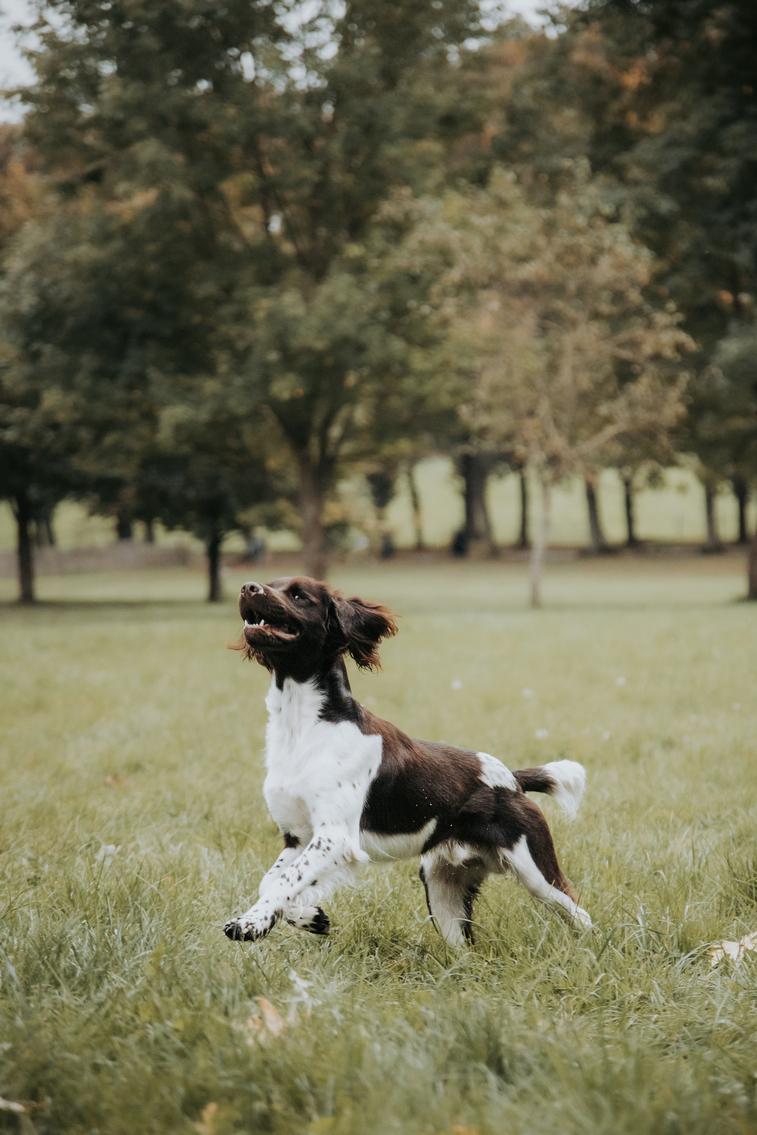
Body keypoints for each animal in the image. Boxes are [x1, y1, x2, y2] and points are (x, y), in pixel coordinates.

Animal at [224, 576, 590, 948]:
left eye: (299, 595)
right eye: (271, 584)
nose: (248, 587)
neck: (305, 725)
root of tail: (513, 780)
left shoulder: (335, 836)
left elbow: (285, 881)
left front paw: (250, 923)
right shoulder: (298, 836)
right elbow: (272, 882)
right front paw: (309, 917)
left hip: (535, 870)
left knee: (579, 913)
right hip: (442, 888)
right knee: (464, 947)